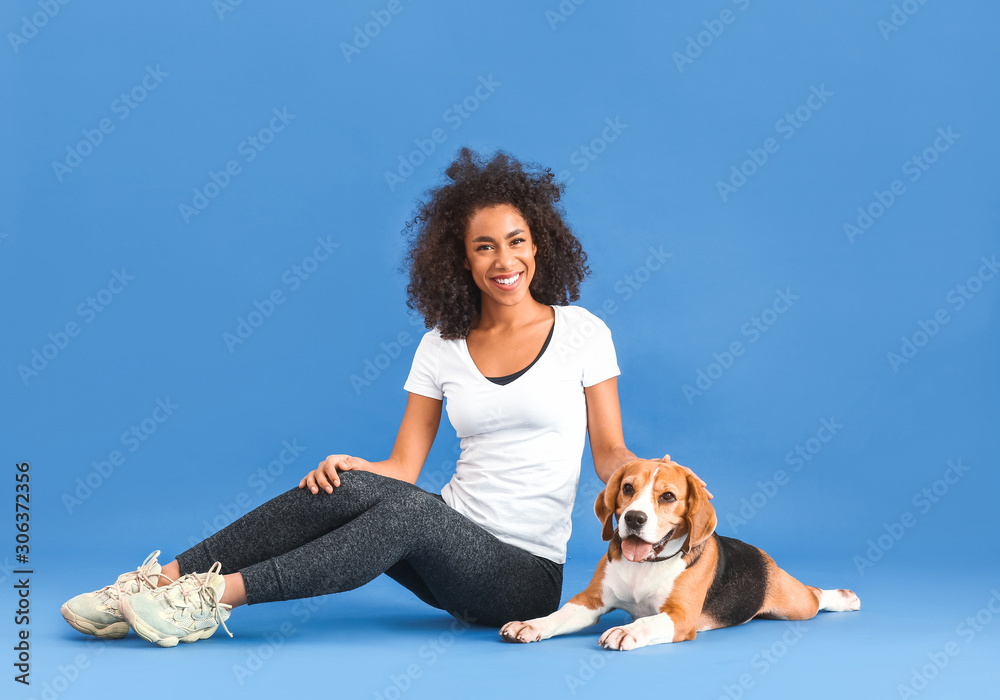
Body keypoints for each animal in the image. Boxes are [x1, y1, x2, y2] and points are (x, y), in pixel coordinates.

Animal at [500, 456, 860, 648]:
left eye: (668, 497)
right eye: (627, 488)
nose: (634, 518)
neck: (647, 563)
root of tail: (762, 554)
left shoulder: (681, 618)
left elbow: (647, 623)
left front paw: (625, 630)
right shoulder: (590, 601)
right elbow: (559, 615)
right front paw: (531, 625)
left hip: (794, 605)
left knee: (814, 595)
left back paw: (844, 597)